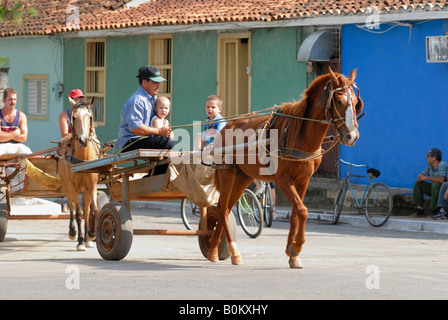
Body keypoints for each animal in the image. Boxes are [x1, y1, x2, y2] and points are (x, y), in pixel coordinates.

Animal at [57, 97, 100, 250]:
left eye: (90, 117)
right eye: (74, 117)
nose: (83, 140)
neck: (83, 159)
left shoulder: (92, 185)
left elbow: (93, 211)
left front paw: (91, 235)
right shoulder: (73, 186)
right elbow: (78, 214)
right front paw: (80, 241)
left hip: (85, 188)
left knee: (86, 210)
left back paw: (87, 238)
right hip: (66, 185)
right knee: (71, 206)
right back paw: (73, 232)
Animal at [208, 67, 362, 268]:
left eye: (356, 102)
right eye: (338, 101)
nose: (352, 136)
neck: (300, 137)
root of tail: (228, 125)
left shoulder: (303, 181)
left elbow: (297, 212)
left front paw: (292, 254)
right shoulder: (283, 181)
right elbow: (303, 211)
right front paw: (296, 247)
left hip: (243, 177)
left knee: (225, 210)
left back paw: (219, 249)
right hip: (227, 173)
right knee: (221, 209)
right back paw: (224, 250)